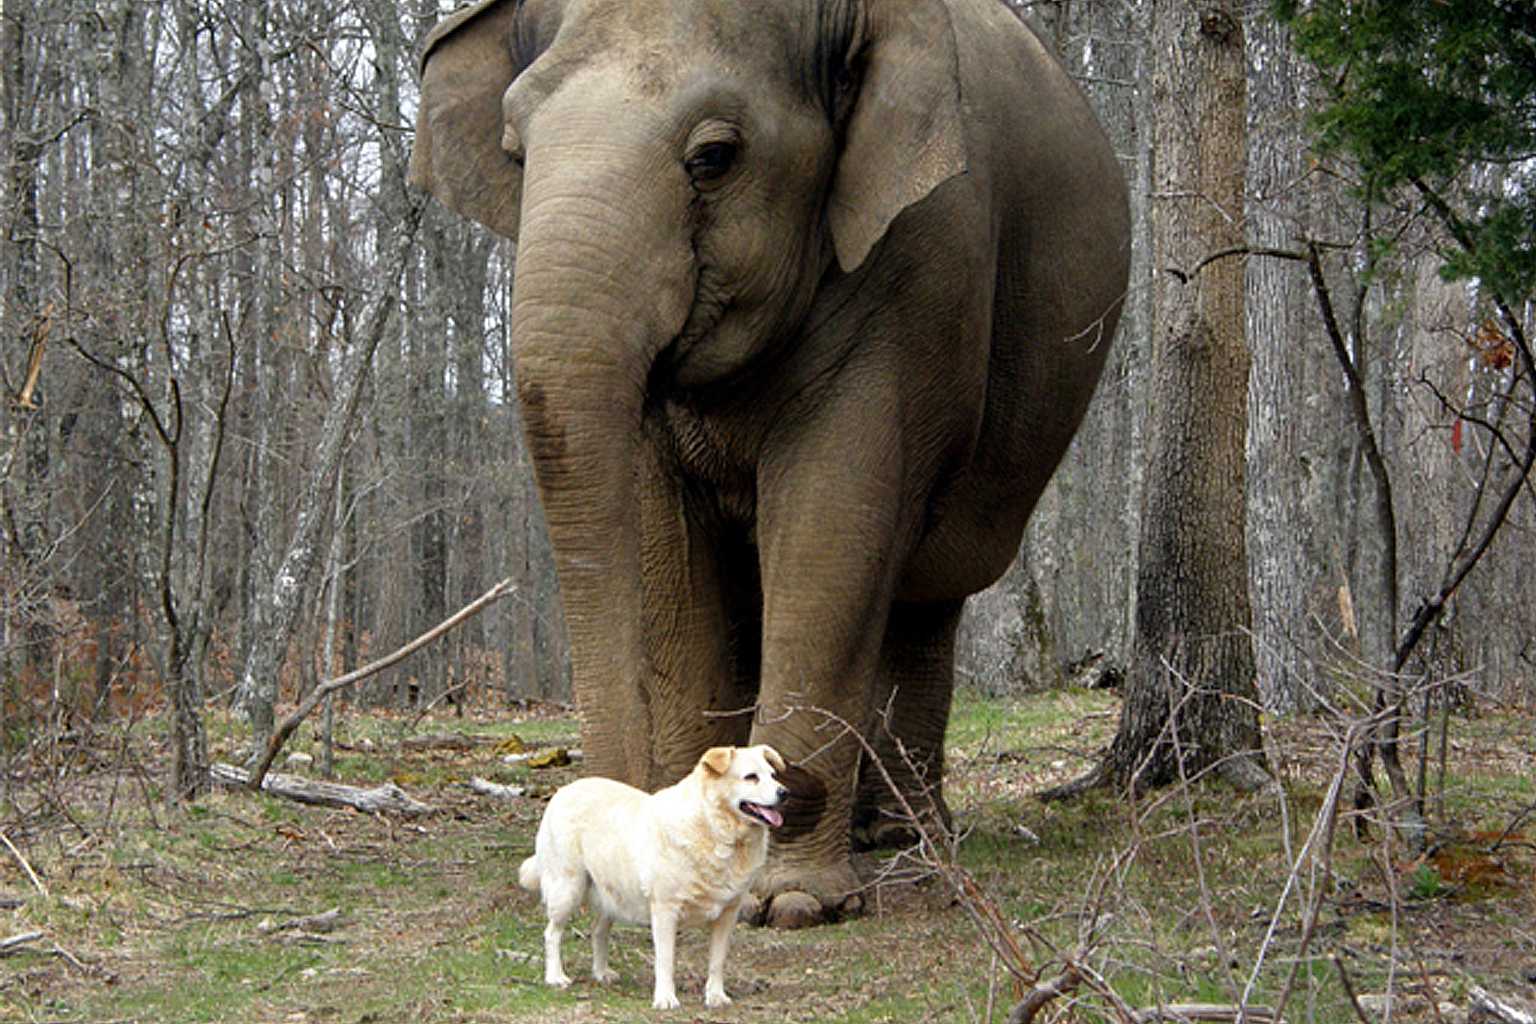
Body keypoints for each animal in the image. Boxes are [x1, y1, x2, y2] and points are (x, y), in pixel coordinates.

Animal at [408, 0, 1130, 927]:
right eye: (516, 151)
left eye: (714, 157)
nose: (567, 864)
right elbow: (666, 546)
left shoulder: (918, 264)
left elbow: (832, 524)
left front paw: (792, 902)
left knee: (928, 593)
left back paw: (900, 838)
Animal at [519, 746, 792, 1007]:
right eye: (751, 777)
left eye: (773, 775)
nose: (785, 793)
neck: (714, 829)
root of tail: (564, 790)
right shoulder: (665, 911)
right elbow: (665, 960)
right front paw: (665, 998)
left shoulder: (728, 914)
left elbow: (717, 962)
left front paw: (715, 996)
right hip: (567, 890)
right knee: (552, 934)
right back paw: (555, 977)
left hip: (612, 894)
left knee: (597, 931)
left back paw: (601, 972)